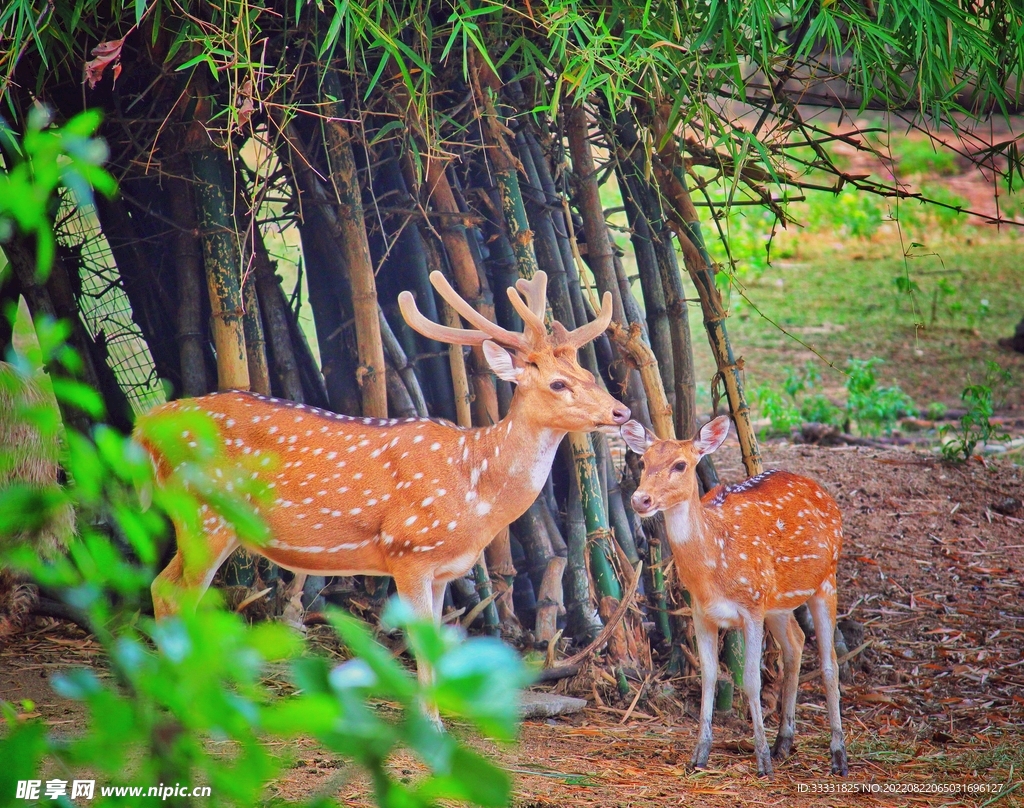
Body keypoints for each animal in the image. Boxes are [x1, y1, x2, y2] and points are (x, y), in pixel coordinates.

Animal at [136, 269, 629, 694]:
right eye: (559, 384)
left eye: (589, 373)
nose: (621, 411)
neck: (474, 490)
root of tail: (147, 425)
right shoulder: (408, 550)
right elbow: (421, 653)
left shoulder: (442, 569)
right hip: (202, 515)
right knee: (174, 593)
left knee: (162, 587)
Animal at [621, 415, 848, 778]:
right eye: (643, 462)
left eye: (680, 464)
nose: (640, 500)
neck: (714, 566)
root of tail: (823, 492)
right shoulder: (701, 612)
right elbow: (709, 676)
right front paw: (699, 755)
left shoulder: (751, 606)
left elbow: (751, 680)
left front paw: (762, 762)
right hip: (777, 602)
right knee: (795, 644)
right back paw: (784, 741)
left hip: (825, 579)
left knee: (830, 663)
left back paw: (838, 755)